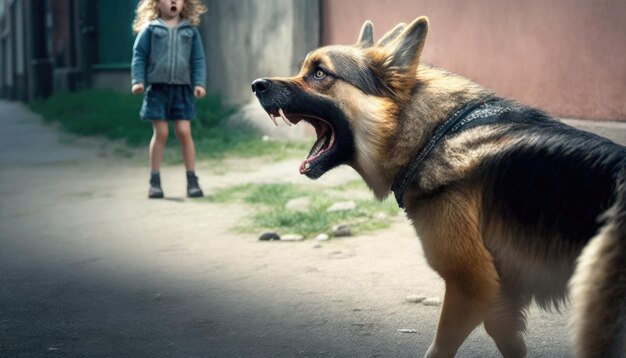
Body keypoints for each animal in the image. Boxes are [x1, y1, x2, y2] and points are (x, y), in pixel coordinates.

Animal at [250, 16, 624, 356]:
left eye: (319, 73)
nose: (256, 85)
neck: (433, 134)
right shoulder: (499, 293)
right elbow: (507, 338)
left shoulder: (471, 285)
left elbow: (440, 347)